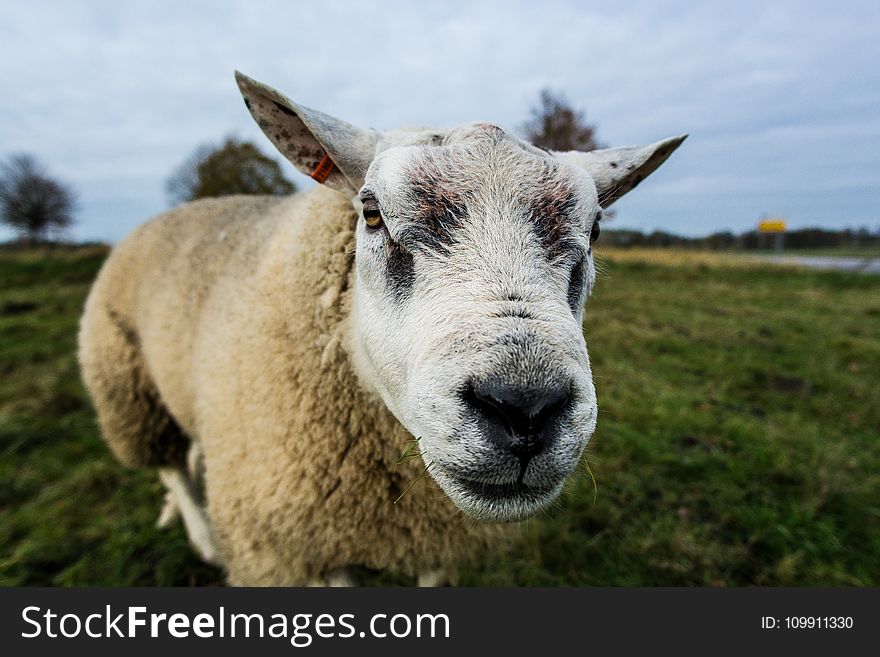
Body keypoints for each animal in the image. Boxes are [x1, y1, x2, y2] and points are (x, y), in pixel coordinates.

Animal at [77, 72, 688, 584]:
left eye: (596, 229)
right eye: (371, 214)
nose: (524, 407)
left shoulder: (437, 541)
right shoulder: (307, 547)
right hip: (127, 385)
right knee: (168, 466)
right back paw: (202, 536)